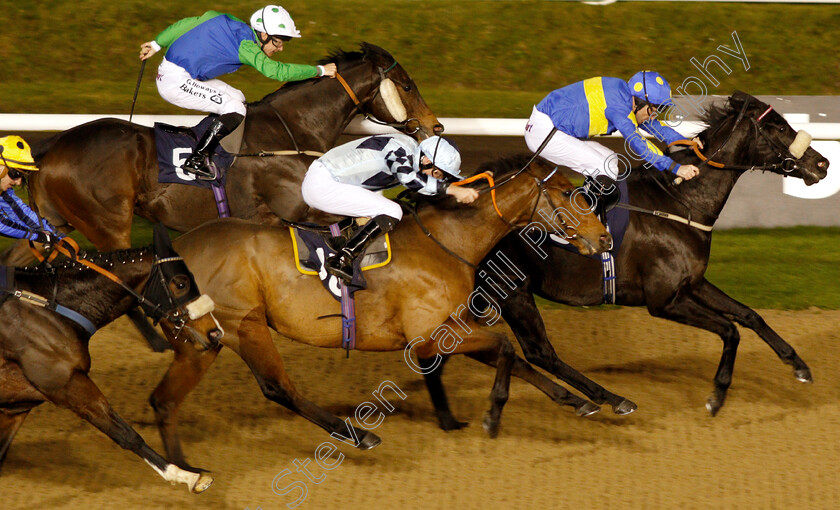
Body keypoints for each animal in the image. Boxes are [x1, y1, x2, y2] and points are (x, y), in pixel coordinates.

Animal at [0, 225, 223, 492]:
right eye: (180, 282)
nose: (214, 332)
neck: (48, 307)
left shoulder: (18, 406)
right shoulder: (68, 385)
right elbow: (125, 434)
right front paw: (189, 476)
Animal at [146, 155, 612, 470]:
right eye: (569, 192)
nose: (605, 238)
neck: (448, 240)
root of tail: (174, 251)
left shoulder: (449, 329)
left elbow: (514, 357)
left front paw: (580, 402)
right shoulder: (429, 334)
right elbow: (506, 348)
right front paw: (493, 416)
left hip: (202, 341)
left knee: (163, 401)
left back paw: (182, 469)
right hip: (240, 326)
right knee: (278, 387)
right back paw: (358, 434)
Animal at [420, 89, 828, 424]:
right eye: (777, 127)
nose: (822, 164)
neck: (680, 202)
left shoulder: (691, 283)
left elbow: (749, 316)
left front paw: (799, 366)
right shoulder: (663, 301)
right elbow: (729, 329)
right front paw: (716, 396)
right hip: (511, 290)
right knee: (539, 352)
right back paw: (605, 399)